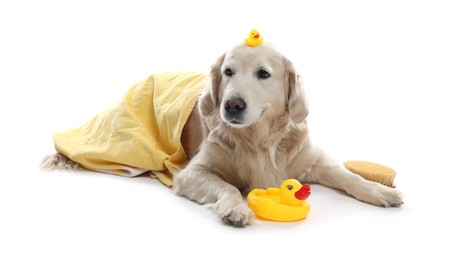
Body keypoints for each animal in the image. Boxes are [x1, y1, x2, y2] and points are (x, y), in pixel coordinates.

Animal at [44, 42, 404, 225]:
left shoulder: (313, 160)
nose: (231, 105)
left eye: (263, 74)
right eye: (228, 71)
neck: (260, 139)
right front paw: (236, 208)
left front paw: (380, 191)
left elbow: (349, 176)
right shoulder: (193, 173)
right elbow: (228, 186)